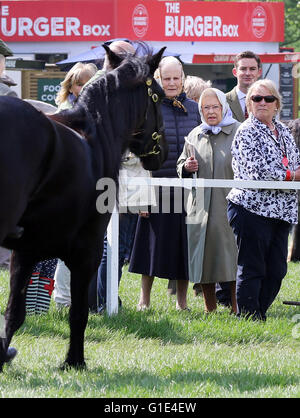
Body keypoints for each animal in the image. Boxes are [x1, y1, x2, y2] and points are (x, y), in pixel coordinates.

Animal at [0, 46, 166, 372]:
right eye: (161, 96)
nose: (162, 153)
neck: (94, 137)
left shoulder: (24, 252)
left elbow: (14, 312)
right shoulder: (87, 251)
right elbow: (78, 312)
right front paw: (74, 361)